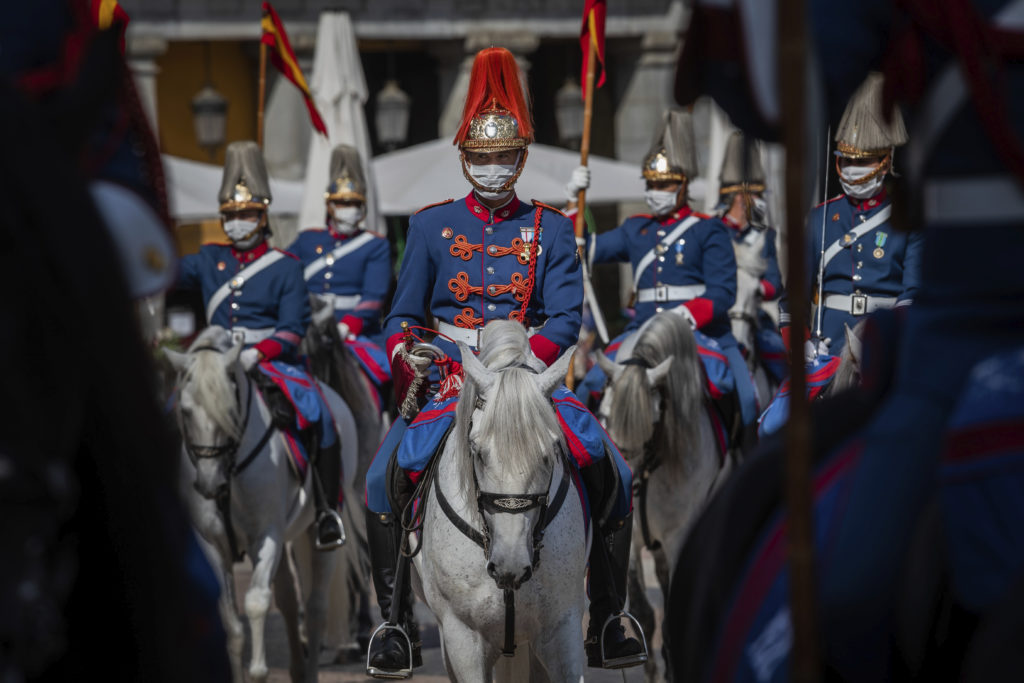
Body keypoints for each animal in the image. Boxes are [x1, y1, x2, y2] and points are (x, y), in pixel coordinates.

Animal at [165, 327, 358, 683]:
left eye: (229, 410)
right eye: (185, 411)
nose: (210, 484)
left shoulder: (265, 535)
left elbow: (255, 602)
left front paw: (257, 671)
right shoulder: (213, 544)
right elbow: (231, 619)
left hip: (318, 532)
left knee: (315, 608)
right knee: (287, 599)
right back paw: (297, 668)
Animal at [598, 313, 733, 679]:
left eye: (652, 423)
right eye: (604, 415)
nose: (622, 492)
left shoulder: (679, 537)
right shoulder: (631, 542)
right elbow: (643, 611)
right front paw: (651, 669)